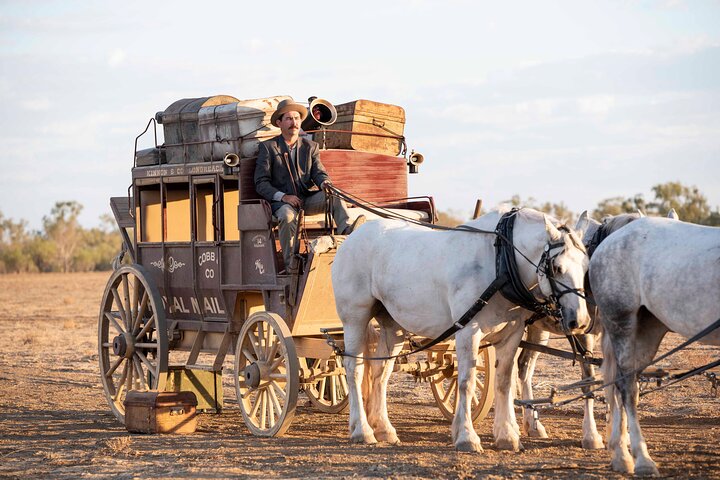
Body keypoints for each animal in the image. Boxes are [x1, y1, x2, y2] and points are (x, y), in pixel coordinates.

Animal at [332, 208, 592, 452]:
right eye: (556, 268)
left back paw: (384, 429)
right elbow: (467, 381)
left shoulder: (512, 334)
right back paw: (362, 430)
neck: (498, 262)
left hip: (392, 325)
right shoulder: (468, 331)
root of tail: (355, 235)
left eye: (586, 266)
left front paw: (507, 436)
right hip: (355, 317)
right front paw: (467, 436)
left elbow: (504, 382)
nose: (579, 321)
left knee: (381, 372)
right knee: (353, 369)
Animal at [592, 218, 720, 476]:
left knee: (623, 384)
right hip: (621, 323)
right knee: (627, 388)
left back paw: (621, 455)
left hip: (647, 332)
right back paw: (641, 459)